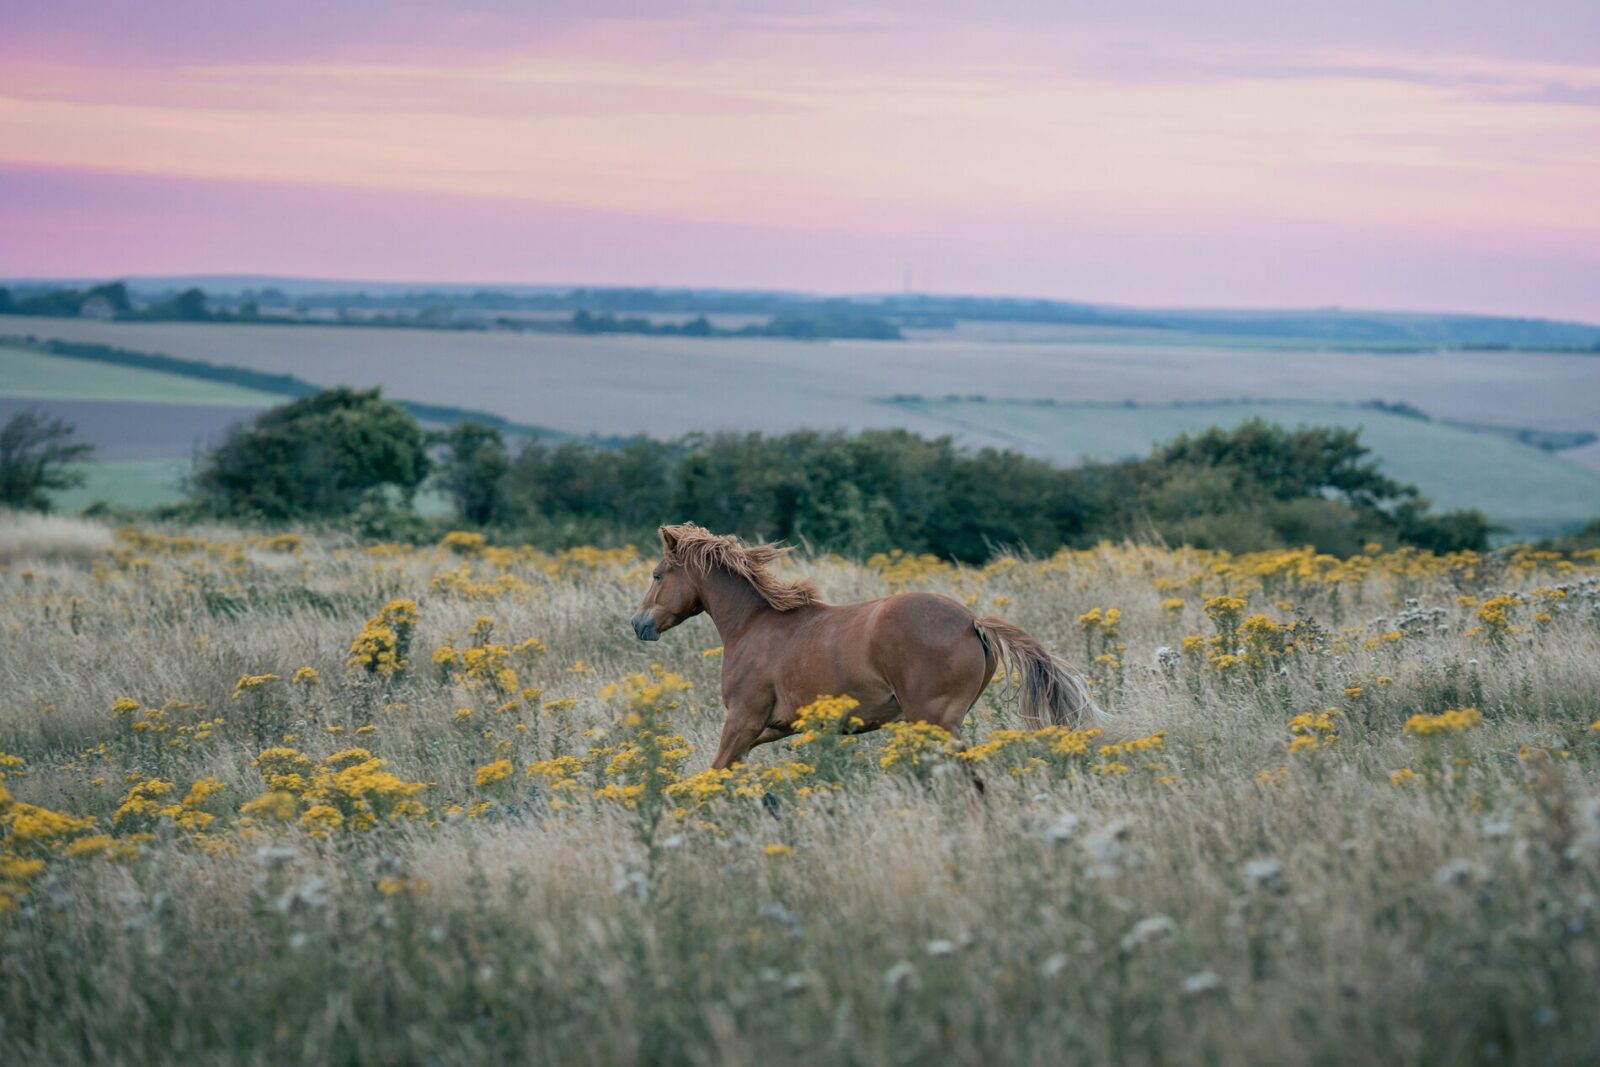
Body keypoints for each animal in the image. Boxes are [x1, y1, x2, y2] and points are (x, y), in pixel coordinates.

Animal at [630, 523, 1098, 770]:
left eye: (657, 575)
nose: (638, 623)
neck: (753, 625)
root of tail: (973, 622)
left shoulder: (743, 718)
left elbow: (718, 767)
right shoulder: (774, 725)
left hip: (934, 720)